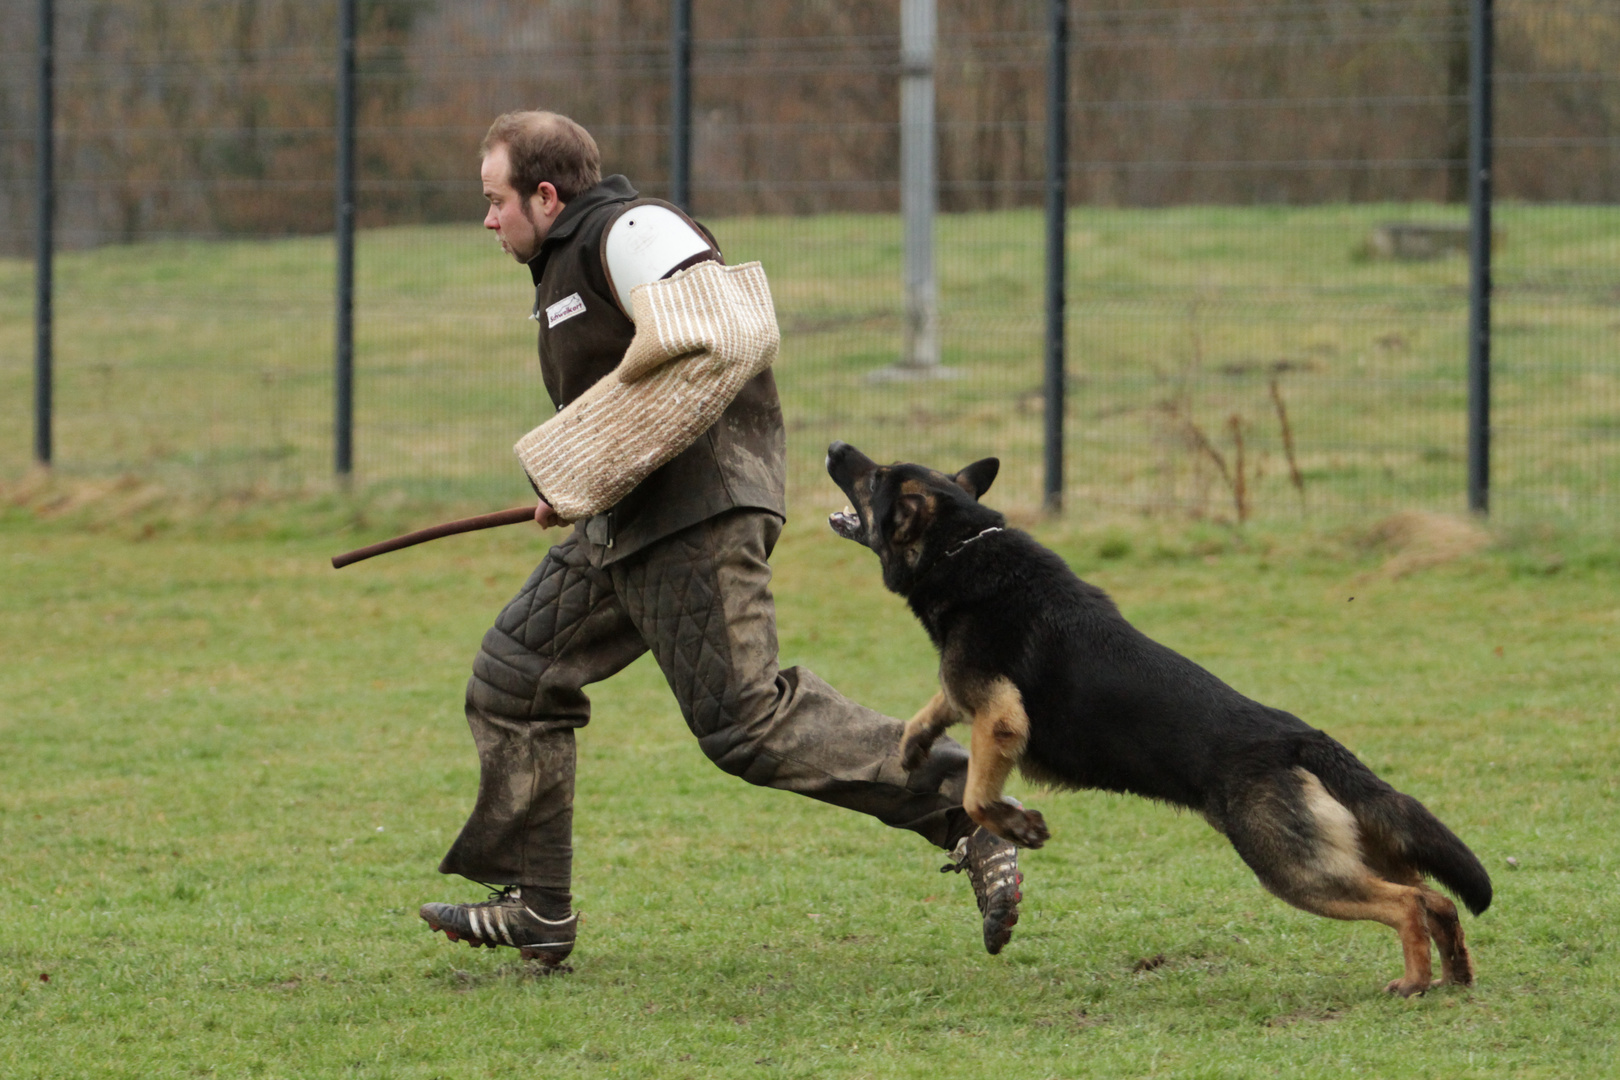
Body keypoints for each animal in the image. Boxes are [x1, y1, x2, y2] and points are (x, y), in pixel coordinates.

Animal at [829, 440, 1496, 997]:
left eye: (876, 475)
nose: (836, 446)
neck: (963, 543)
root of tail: (1299, 739)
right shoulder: (968, 690)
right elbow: (938, 704)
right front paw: (912, 745)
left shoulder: (1001, 717)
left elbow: (975, 794)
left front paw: (1020, 827)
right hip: (1353, 851)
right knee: (1436, 899)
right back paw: (1456, 974)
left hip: (1296, 870)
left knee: (1406, 903)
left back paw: (1414, 982)